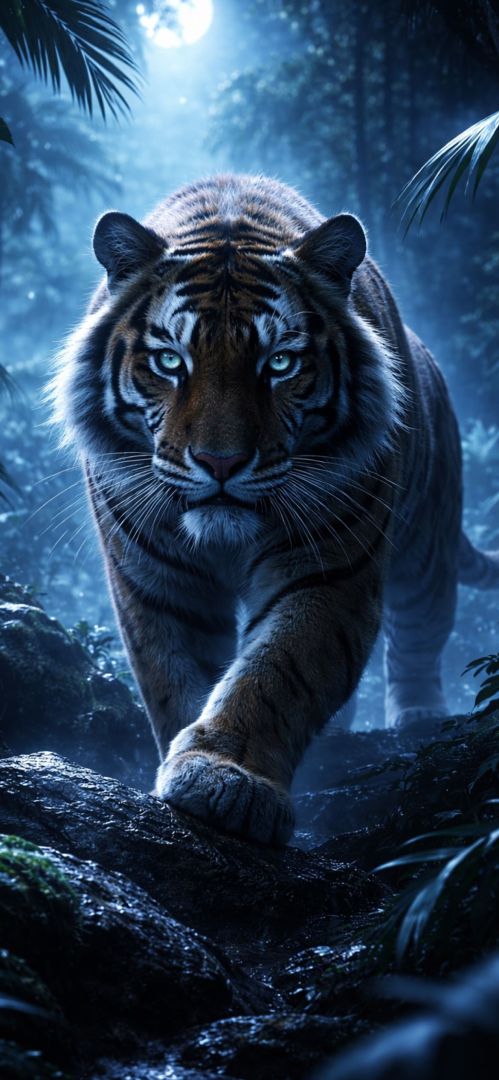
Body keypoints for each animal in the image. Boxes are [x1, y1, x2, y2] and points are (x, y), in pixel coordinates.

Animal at [51, 174, 499, 846]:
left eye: (280, 363)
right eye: (169, 361)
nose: (221, 463)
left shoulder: (328, 571)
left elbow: (276, 673)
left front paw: (227, 778)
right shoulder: (157, 579)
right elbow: (175, 677)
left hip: (427, 549)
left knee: (419, 637)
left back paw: (418, 718)